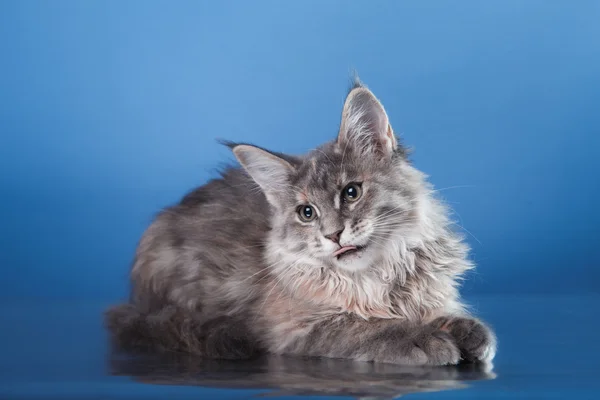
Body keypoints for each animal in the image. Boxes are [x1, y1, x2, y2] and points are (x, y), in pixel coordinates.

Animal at [106, 79, 496, 366]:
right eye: (307, 213)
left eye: (351, 192)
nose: (334, 234)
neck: (378, 276)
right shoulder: (297, 327)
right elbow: (366, 327)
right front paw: (424, 338)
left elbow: (443, 312)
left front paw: (468, 332)